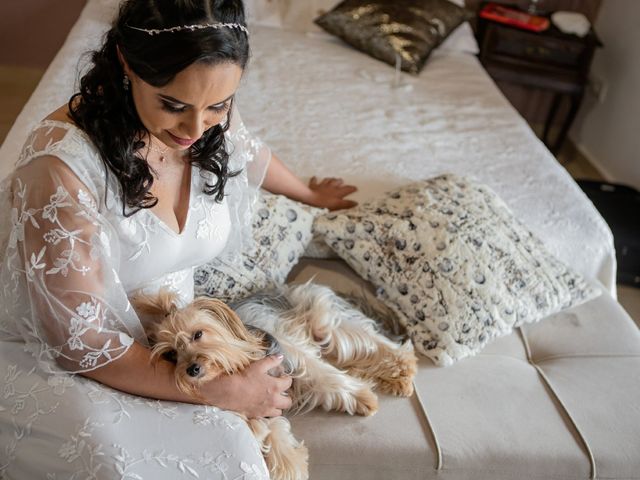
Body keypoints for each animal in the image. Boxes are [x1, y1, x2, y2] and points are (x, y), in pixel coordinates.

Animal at [132, 284, 418, 480]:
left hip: (323, 321)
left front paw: (363, 398)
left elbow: (325, 376)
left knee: (367, 341)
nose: (192, 369)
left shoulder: (291, 354)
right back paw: (396, 378)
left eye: (198, 334)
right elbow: (274, 429)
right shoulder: (260, 400)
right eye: (171, 354)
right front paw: (290, 465)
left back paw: (402, 367)